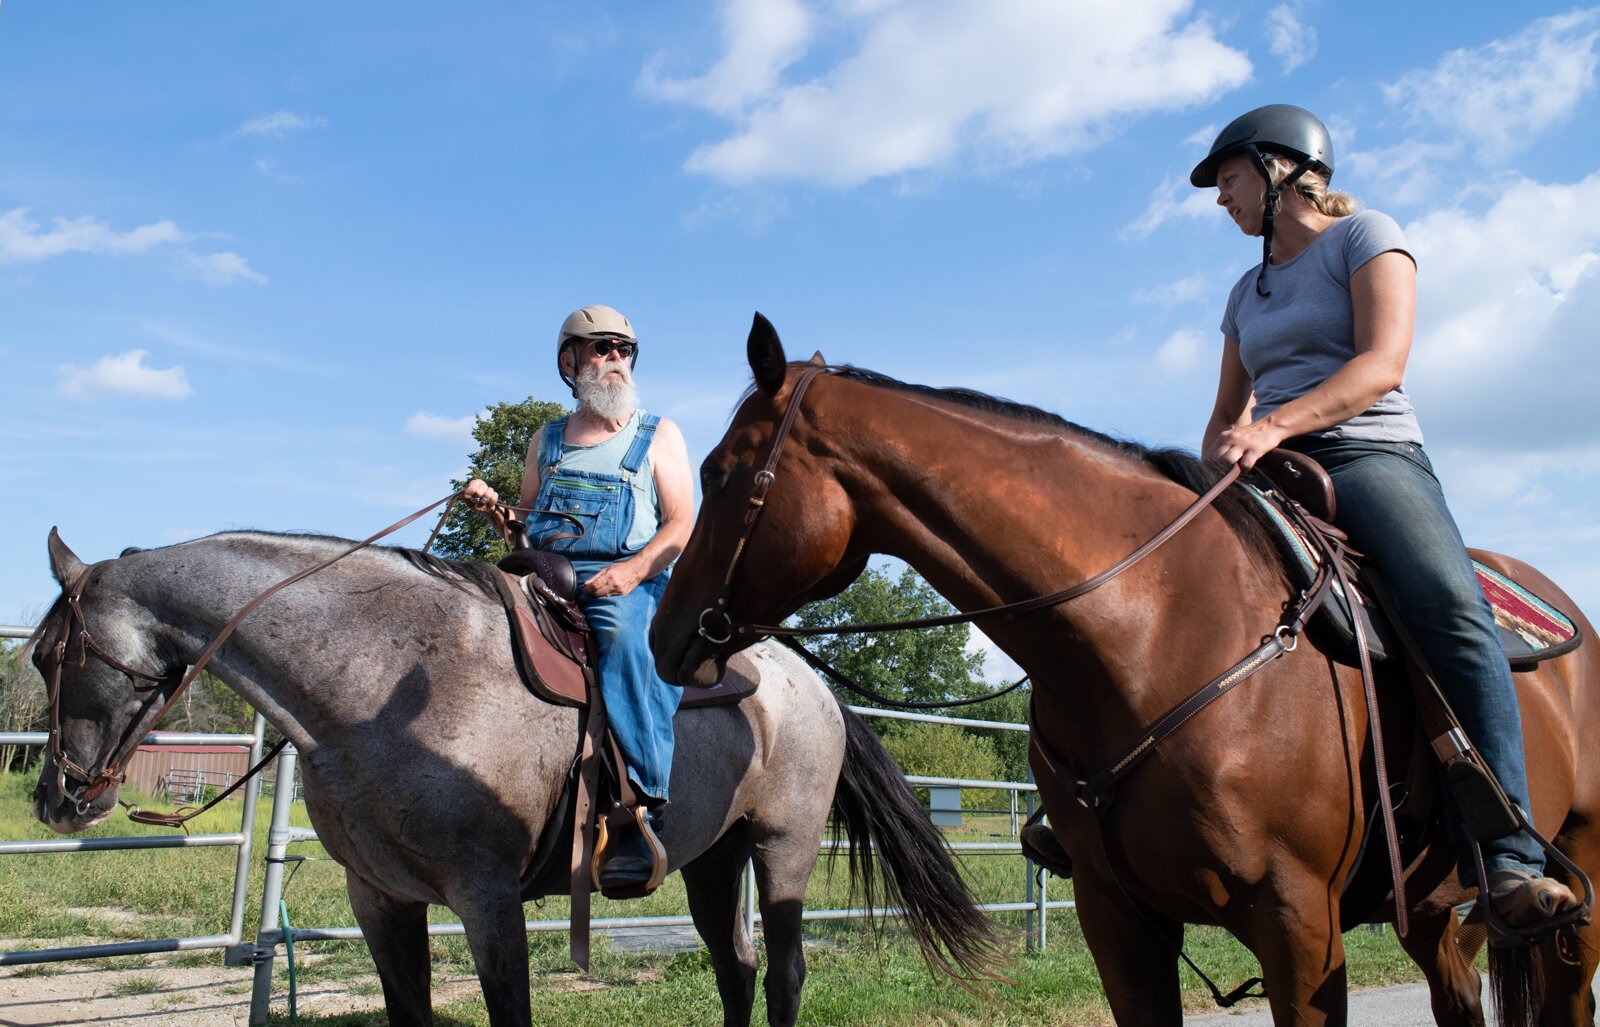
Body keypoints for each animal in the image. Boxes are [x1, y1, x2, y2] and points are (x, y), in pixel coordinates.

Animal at [31, 527, 998, 1023]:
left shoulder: (487, 899)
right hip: (713, 859)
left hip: (783, 844)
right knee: (737, 968)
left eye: (48, 654)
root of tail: (814, 684)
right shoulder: (379, 898)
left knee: (787, 972)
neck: (383, 681)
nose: (57, 798)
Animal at [649, 313, 1600, 1023]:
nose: (665, 634)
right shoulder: (1120, 922)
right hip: (1433, 911)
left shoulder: (1300, 925)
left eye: (721, 472)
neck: (1155, 634)